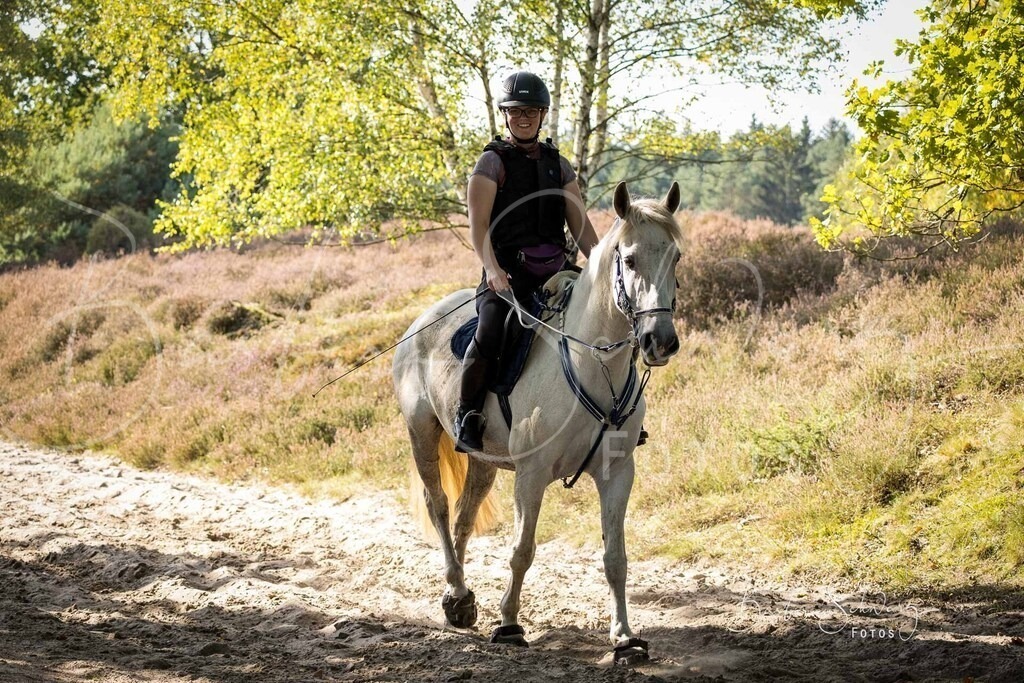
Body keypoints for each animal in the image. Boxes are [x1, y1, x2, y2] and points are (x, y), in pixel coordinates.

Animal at [392, 181, 683, 663]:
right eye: (629, 259)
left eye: (675, 257)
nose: (659, 341)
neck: (591, 363)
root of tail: (422, 319)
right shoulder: (530, 474)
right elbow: (522, 550)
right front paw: (509, 624)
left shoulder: (617, 472)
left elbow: (615, 558)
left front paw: (624, 637)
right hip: (422, 433)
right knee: (439, 507)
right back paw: (455, 593)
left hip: (483, 459)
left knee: (465, 516)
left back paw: (462, 601)